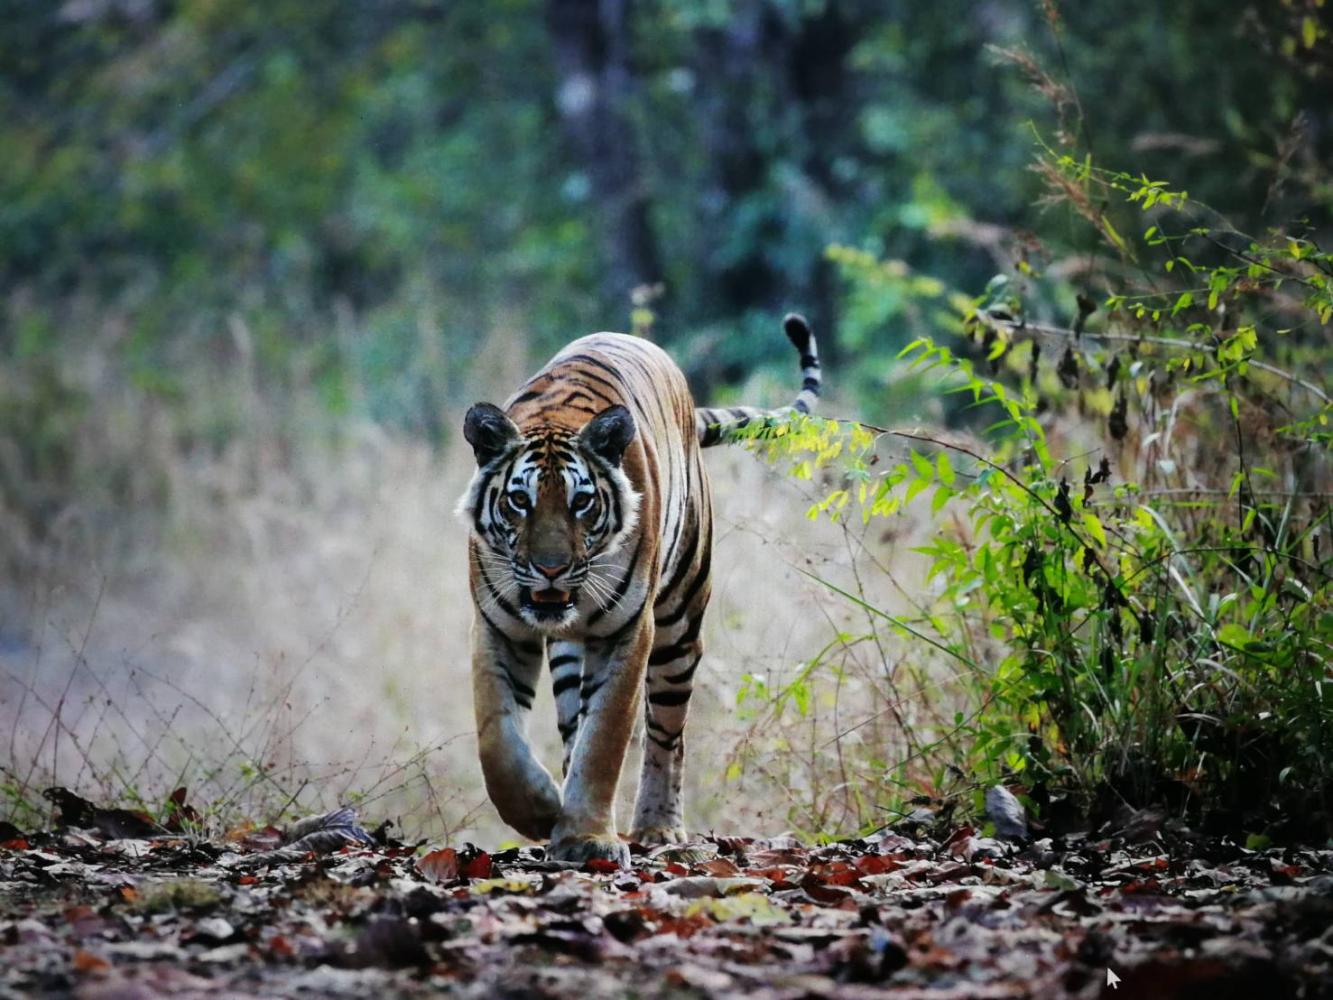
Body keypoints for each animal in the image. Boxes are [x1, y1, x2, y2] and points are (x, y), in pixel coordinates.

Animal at [455, 314, 810, 869]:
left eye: (581, 503)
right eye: (519, 501)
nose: (551, 569)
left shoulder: (628, 631)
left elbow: (606, 738)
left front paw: (589, 837)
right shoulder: (497, 626)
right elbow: (497, 737)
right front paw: (540, 810)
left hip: (679, 626)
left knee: (667, 734)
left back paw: (658, 827)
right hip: (570, 656)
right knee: (572, 725)